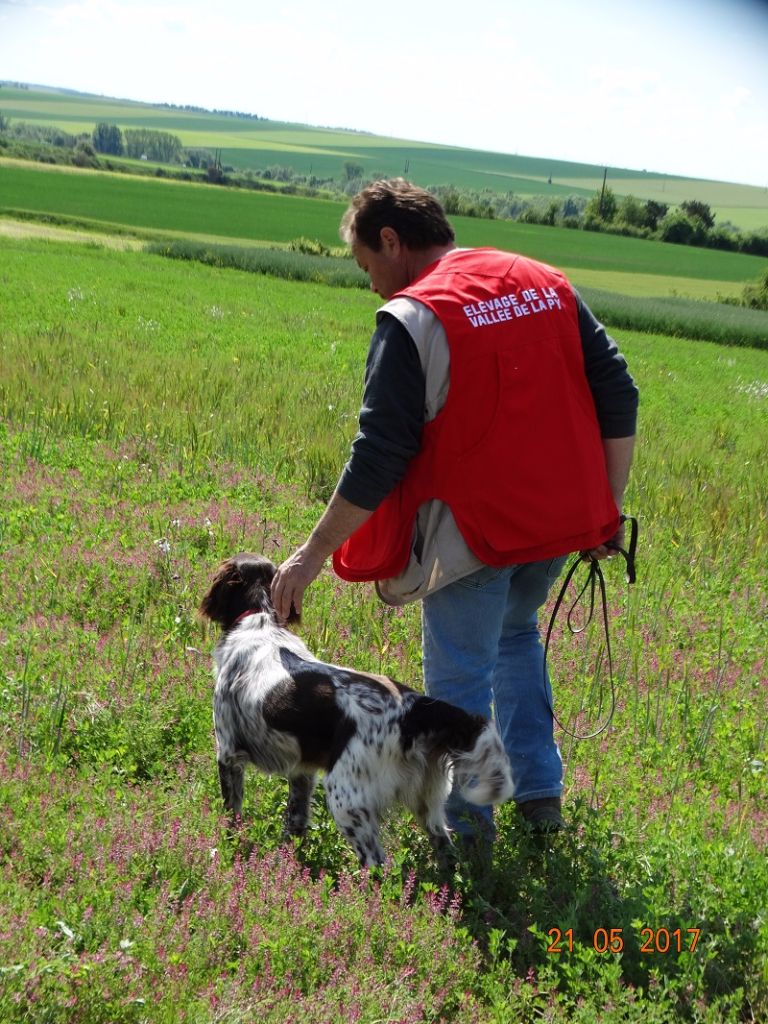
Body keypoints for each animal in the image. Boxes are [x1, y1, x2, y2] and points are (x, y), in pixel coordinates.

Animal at [199, 557, 518, 868]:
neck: (259, 620)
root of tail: (414, 710)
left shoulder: (228, 753)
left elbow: (232, 814)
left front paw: (227, 851)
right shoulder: (301, 771)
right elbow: (295, 821)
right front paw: (286, 864)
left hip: (345, 799)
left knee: (377, 865)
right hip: (425, 801)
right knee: (445, 850)